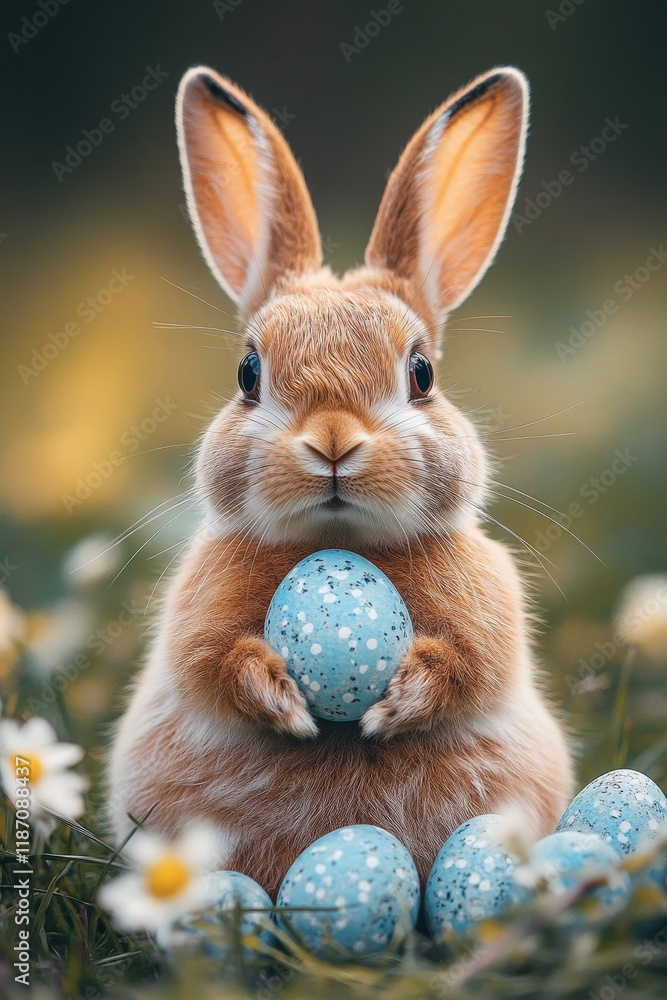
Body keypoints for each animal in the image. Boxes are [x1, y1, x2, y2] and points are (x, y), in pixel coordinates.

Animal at [108, 65, 574, 899]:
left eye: (421, 374)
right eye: (247, 374)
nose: (331, 442)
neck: (339, 541)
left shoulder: (487, 621)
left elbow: (465, 666)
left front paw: (391, 706)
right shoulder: (196, 622)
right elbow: (214, 664)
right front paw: (286, 703)